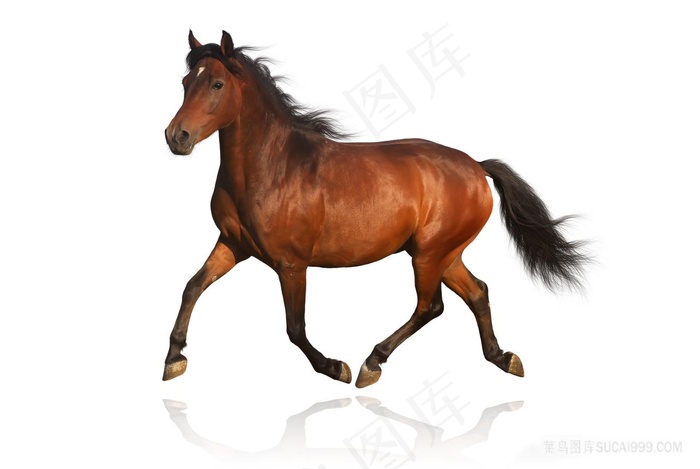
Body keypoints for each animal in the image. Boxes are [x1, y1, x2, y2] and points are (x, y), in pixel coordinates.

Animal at [163, 31, 588, 387]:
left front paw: (335, 367)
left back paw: (373, 362)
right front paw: (174, 359)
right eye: (185, 83)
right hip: (445, 254)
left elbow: (295, 328)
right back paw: (503, 358)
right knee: (477, 292)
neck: (273, 167)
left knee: (431, 306)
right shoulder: (233, 245)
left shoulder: (291, 264)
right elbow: (191, 287)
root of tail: (476, 166)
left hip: (429, 254)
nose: (176, 137)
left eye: (217, 84)